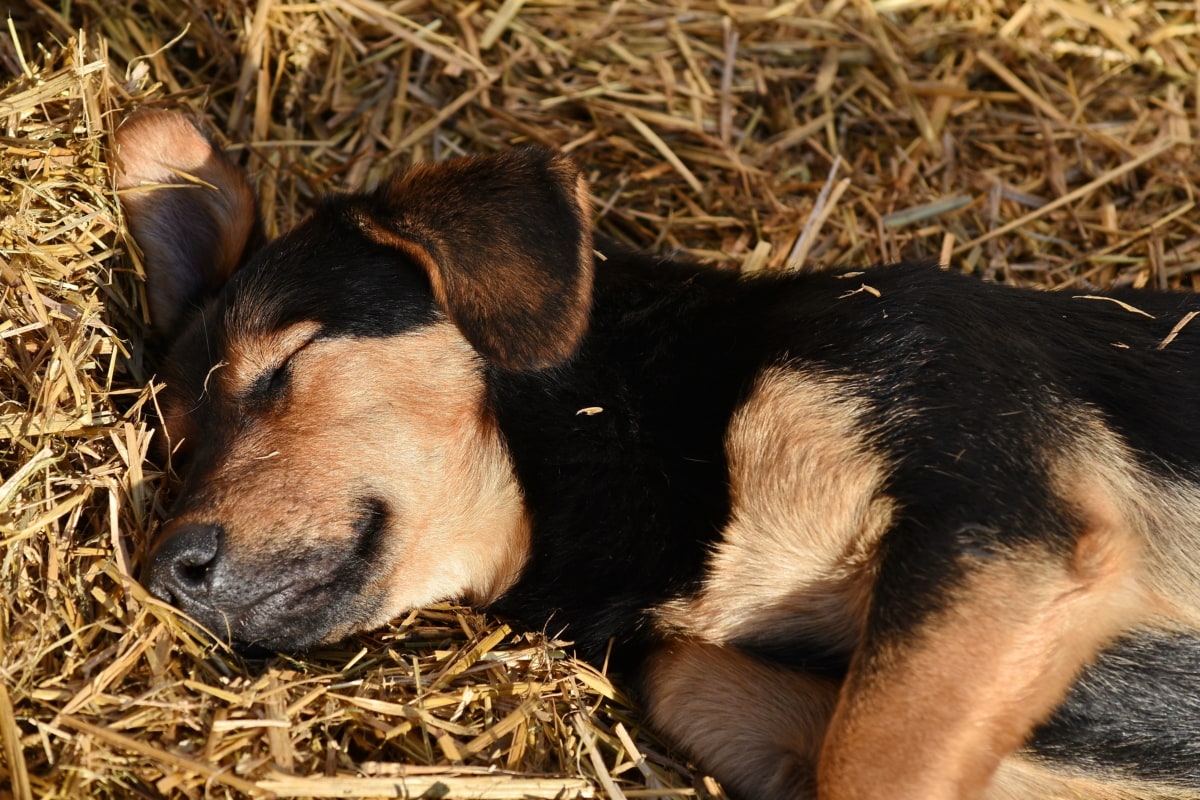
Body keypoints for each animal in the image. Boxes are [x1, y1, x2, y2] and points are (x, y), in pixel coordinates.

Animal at [112, 109, 1200, 796]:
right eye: (176, 443)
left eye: (281, 367)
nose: (168, 570)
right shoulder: (705, 673)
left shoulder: (999, 513)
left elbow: (873, 764)